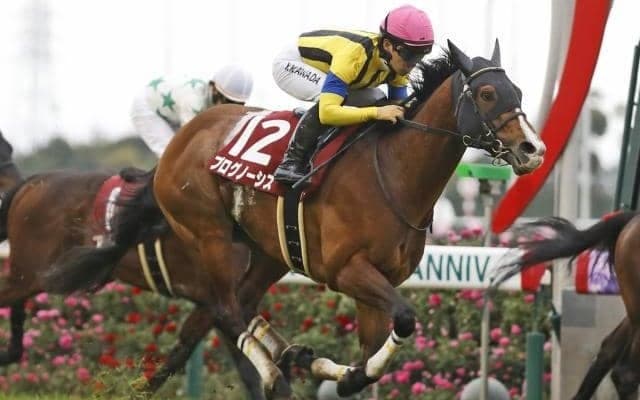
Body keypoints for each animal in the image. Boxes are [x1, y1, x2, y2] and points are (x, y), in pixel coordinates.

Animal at [44, 39, 545, 398]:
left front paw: (344, 372)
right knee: (225, 308)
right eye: (486, 93)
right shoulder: (347, 271)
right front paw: (339, 373)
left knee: (238, 305)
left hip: (269, 249)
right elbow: (404, 319)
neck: (395, 174)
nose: (533, 149)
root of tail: (185, 136)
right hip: (208, 232)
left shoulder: (379, 280)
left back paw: (295, 358)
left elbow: (371, 356)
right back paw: (277, 371)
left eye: (518, 91)